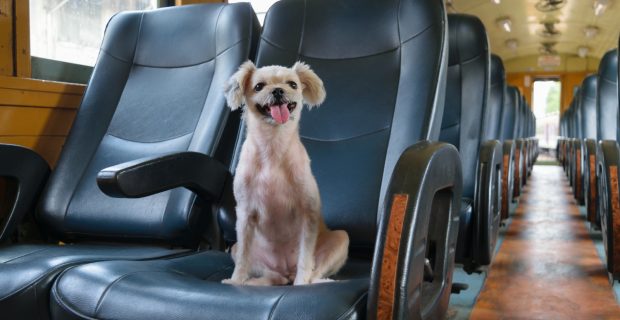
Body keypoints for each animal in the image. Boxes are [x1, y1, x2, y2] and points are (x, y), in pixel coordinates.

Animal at [223, 61, 348, 286]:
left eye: (292, 84)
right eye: (258, 86)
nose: (278, 90)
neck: (273, 145)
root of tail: (285, 269)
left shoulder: (308, 213)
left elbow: (305, 258)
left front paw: (301, 282)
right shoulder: (245, 214)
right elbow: (244, 257)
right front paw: (236, 281)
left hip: (341, 238)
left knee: (314, 272)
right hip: (242, 251)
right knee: (271, 276)